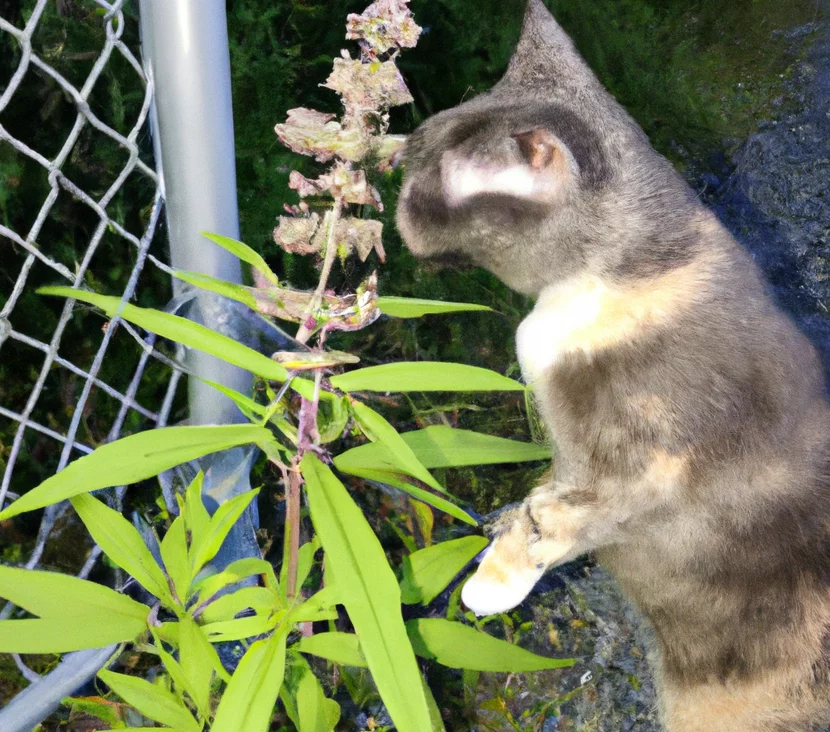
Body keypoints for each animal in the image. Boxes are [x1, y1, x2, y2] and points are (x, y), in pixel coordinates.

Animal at [394, 1, 830, 732]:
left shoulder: (649, 469)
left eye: (429, 183)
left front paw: (492, 583)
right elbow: (542, 500)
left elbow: (558, 520)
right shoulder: (573, 459)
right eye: (409, 153)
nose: (394, 191)